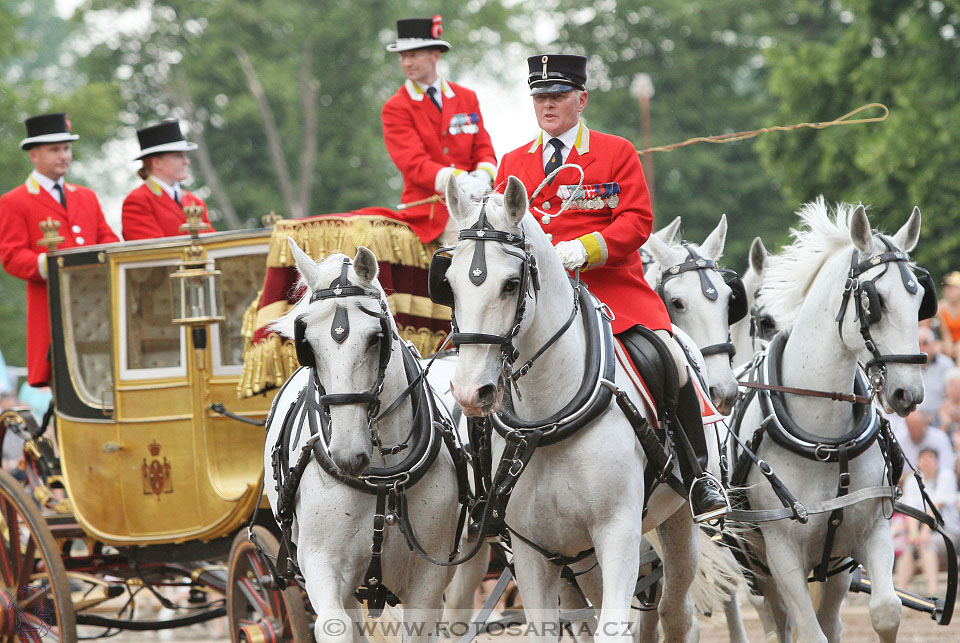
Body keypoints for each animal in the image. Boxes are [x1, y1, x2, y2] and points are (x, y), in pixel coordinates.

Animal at [266, 244, 464, 643]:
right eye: (307, 345)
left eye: (376, 337)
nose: (346, 454)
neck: (382, 478)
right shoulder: (322, 565)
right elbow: (335, 626)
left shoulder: (429, 578)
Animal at [438, 174, 700, 640]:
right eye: (447, 284)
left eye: (511, 284)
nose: (471, 391)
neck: (548, 418)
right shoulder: (532, 551)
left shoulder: (618, 532)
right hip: (577, 557)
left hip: (676, 517)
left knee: (675, 610)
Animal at [740, 199, 928, 640]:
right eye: (874, 301)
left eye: (919, 299)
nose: (909, 393)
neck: (826, 441)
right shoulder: (782, 552)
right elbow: (810, 633)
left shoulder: (871, 532)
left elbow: (886, 610)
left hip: (833, 566)